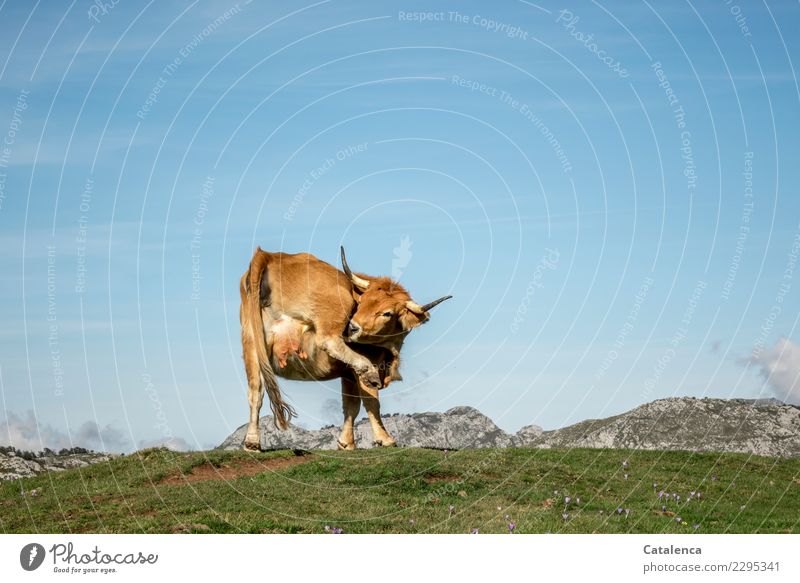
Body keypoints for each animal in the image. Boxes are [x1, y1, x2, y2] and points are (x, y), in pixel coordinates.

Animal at [238, 246, 450, 452]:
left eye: (387, 313)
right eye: (361, 302)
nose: (353, 327)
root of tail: (268, 255)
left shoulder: (347, 375)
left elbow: (351, 406)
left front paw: (346, 443)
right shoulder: (365, 364)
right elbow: (371, 401)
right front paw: (384, 439)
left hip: (251, 343)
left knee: (255, 390)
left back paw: (252, 442)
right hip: (336, 308)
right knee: (329, 341)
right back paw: (368, 370)